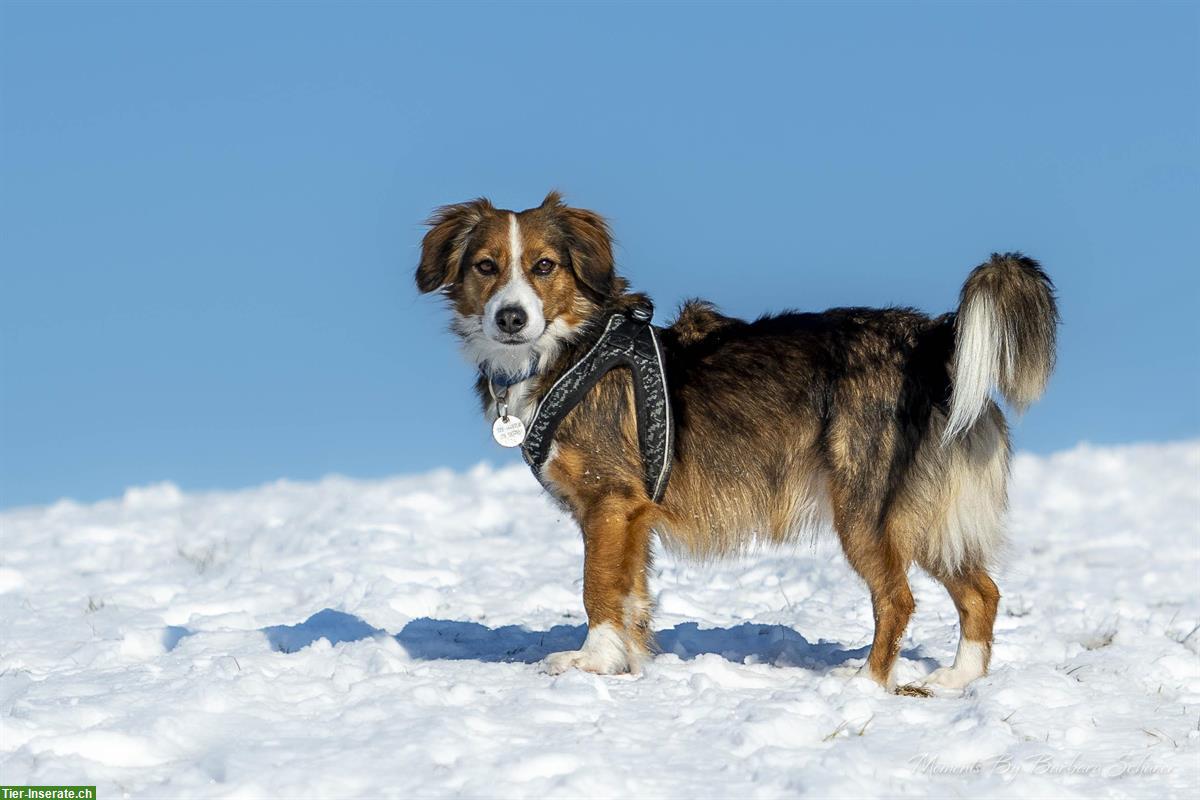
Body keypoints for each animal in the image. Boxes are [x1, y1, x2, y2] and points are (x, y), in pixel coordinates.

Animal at [417, 191, 1056, 695]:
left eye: (544, 266)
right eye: (485, 266)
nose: (511, 317)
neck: (568, 351)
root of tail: (932, 338)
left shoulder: (610, 503)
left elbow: (597, 588)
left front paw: (590, 662)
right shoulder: (631, 516)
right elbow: (630, 593)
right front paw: (627, 661)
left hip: (866, 507)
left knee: (898, 599)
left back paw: (866, 684)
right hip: (925, 516)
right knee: (982, 592)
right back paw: (957, 679)